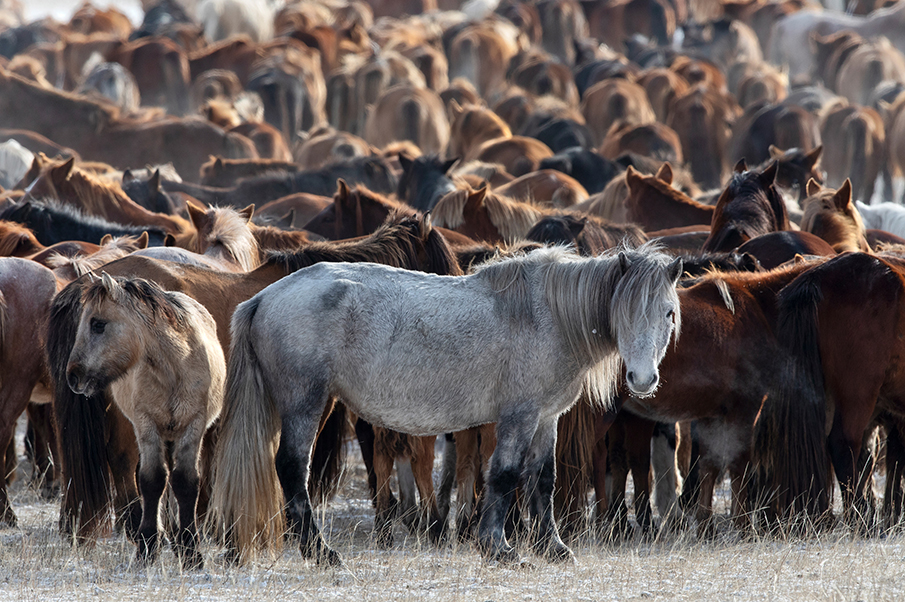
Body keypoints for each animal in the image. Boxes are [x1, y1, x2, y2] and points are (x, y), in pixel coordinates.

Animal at [66, 275, 225, 569]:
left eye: (98, 324)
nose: (73, 376)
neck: (175, 367)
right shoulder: (147, 426)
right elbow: (152, 481)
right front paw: (148, 547)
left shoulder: (193, 427)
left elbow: (185, 482)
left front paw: (191, 552)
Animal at [209, 243, 682, 564]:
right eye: (624, 312)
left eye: (668, 313)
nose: (643, 380)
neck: (547, 316)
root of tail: (264, 297)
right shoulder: (519, 417)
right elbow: (504, 476)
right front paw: (498, 548)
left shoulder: (546, 418)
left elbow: (542, 481)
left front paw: (553, 547)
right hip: (306, 403)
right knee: (292, 467)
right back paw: (321, 552)